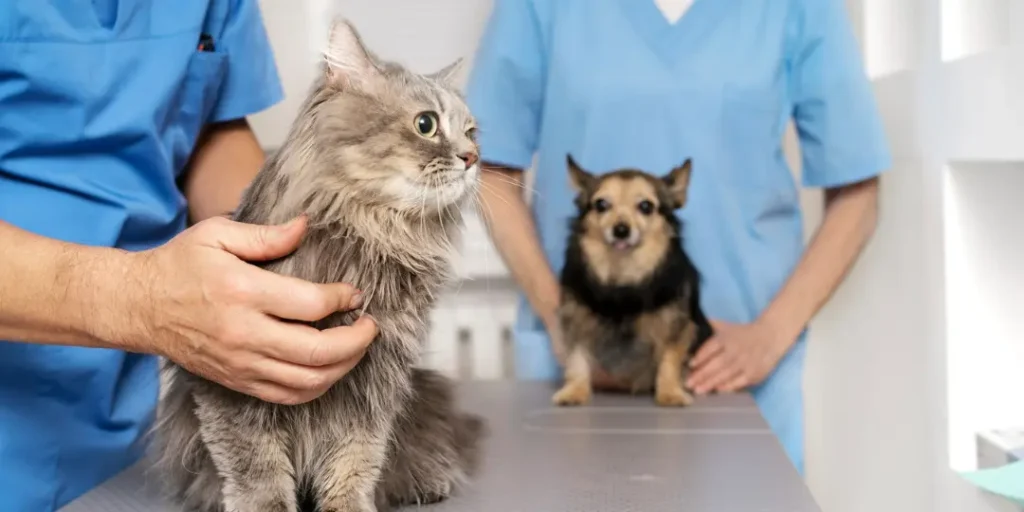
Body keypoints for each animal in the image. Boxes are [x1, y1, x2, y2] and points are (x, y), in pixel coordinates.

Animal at [148, 18, 487, 509]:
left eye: (472, 132)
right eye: (426, 124)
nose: (472, 158)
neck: (372, 235)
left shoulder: (374, 386)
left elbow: (355, 460)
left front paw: (349, 504)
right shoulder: (231, 386)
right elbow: (256, 467)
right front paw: (266, 506)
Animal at [552, 155, 712, 407]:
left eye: (646, 206)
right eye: (601, 204)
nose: (620, 230)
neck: (623, 274)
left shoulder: (676, 326)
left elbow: (669, 359)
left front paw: (670, 393)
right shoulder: (576, 319)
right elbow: (577, 357)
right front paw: (574, 391)